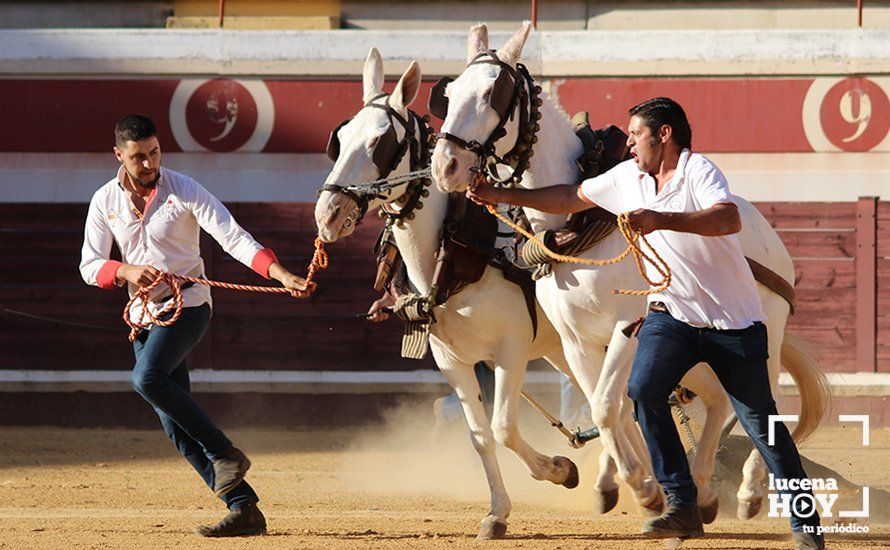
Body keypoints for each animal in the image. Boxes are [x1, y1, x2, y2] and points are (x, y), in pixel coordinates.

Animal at [316, 47, 580, 540]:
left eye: (381, 143)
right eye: (338, 140)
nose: (328, 213)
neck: (455, 252)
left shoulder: (511, 350)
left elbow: (503, 427)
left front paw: (559, 469)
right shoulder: (453, 360)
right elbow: (480, 436)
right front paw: (498, 512)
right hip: (563, 349)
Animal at [430, 23, 824, 528]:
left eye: (491, 94)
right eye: (449, 94)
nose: (446, 166)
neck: (576, 225)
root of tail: (769, 235)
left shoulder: (628, 329)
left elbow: (606, 405)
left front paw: (641, 487)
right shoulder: (575, 341)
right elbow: (608, 409)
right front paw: (627, 486)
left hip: (764, 335)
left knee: (766, 401)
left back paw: (749, 492)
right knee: (719, 402)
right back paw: (704, 490)